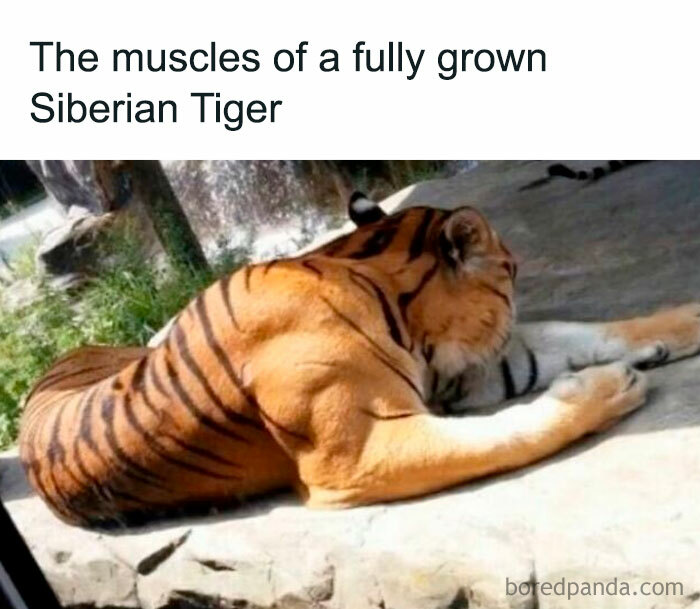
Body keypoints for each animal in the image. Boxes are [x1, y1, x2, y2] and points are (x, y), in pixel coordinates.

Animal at [19, 200, 700, 526]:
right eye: (511, 272)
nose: (514, 286)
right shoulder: (360, 450)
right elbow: (511, 431)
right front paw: (606, 387)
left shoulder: (472, 372)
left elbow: (578, 330)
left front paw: (679, 326)